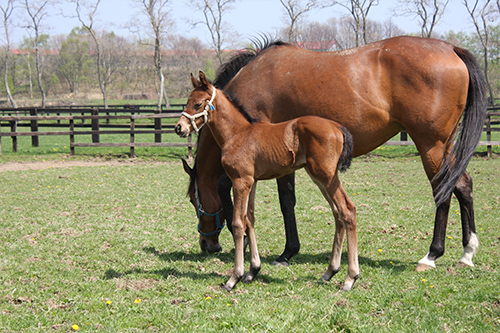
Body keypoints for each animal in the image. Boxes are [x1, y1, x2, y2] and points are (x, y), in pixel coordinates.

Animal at [176, 71, 360, 290]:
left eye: (197, 104)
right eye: (187, 101)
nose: (179, 127)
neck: (237, 133)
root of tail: (337, 126)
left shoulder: (240, 181)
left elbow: (238, 223)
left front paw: (234, 277)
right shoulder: (252, 181)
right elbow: (249, 219)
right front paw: (252, 271)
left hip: (326, 176)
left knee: (347, 210)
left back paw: (350, 277)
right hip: (319, 178)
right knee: (337, 213)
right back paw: (330, 271)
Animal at [179, 35, 484, 270]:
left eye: (195, 201)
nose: (207, 244)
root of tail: (451, 49)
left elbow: (284, 202)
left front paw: (284, 252)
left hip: (431, 146)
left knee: (443, 190)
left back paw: (432, 255)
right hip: (444, 146)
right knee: (463, 185)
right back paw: (467, 253)